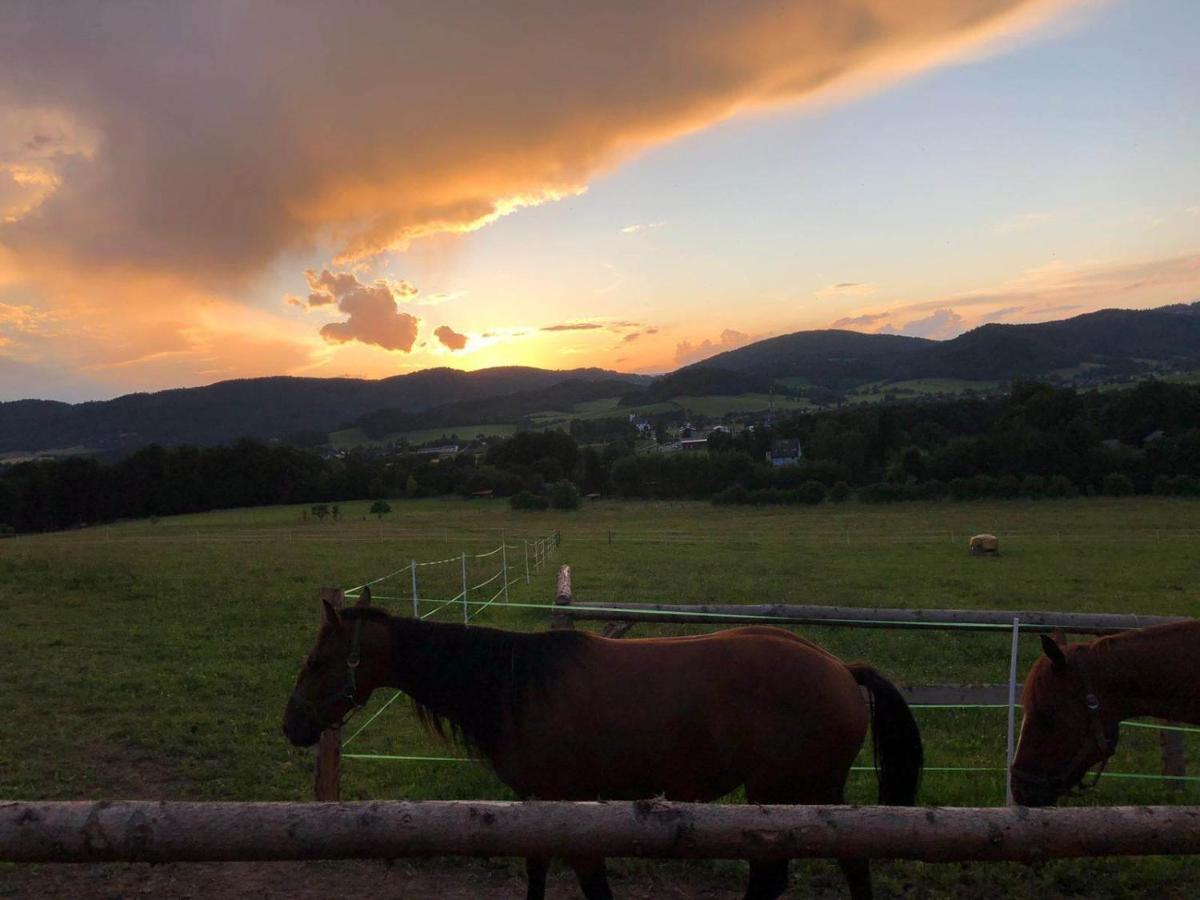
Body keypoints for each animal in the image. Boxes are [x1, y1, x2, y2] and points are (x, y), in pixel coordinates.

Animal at [280, 595, 916, 897]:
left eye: (318, 662)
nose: (292, 726)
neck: (516, 687)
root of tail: (841, 668)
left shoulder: (572, 811)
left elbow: (593, 885)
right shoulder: (536, 807)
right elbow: (536, 875)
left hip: (783, 795)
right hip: (811, 797)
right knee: (843, 864)